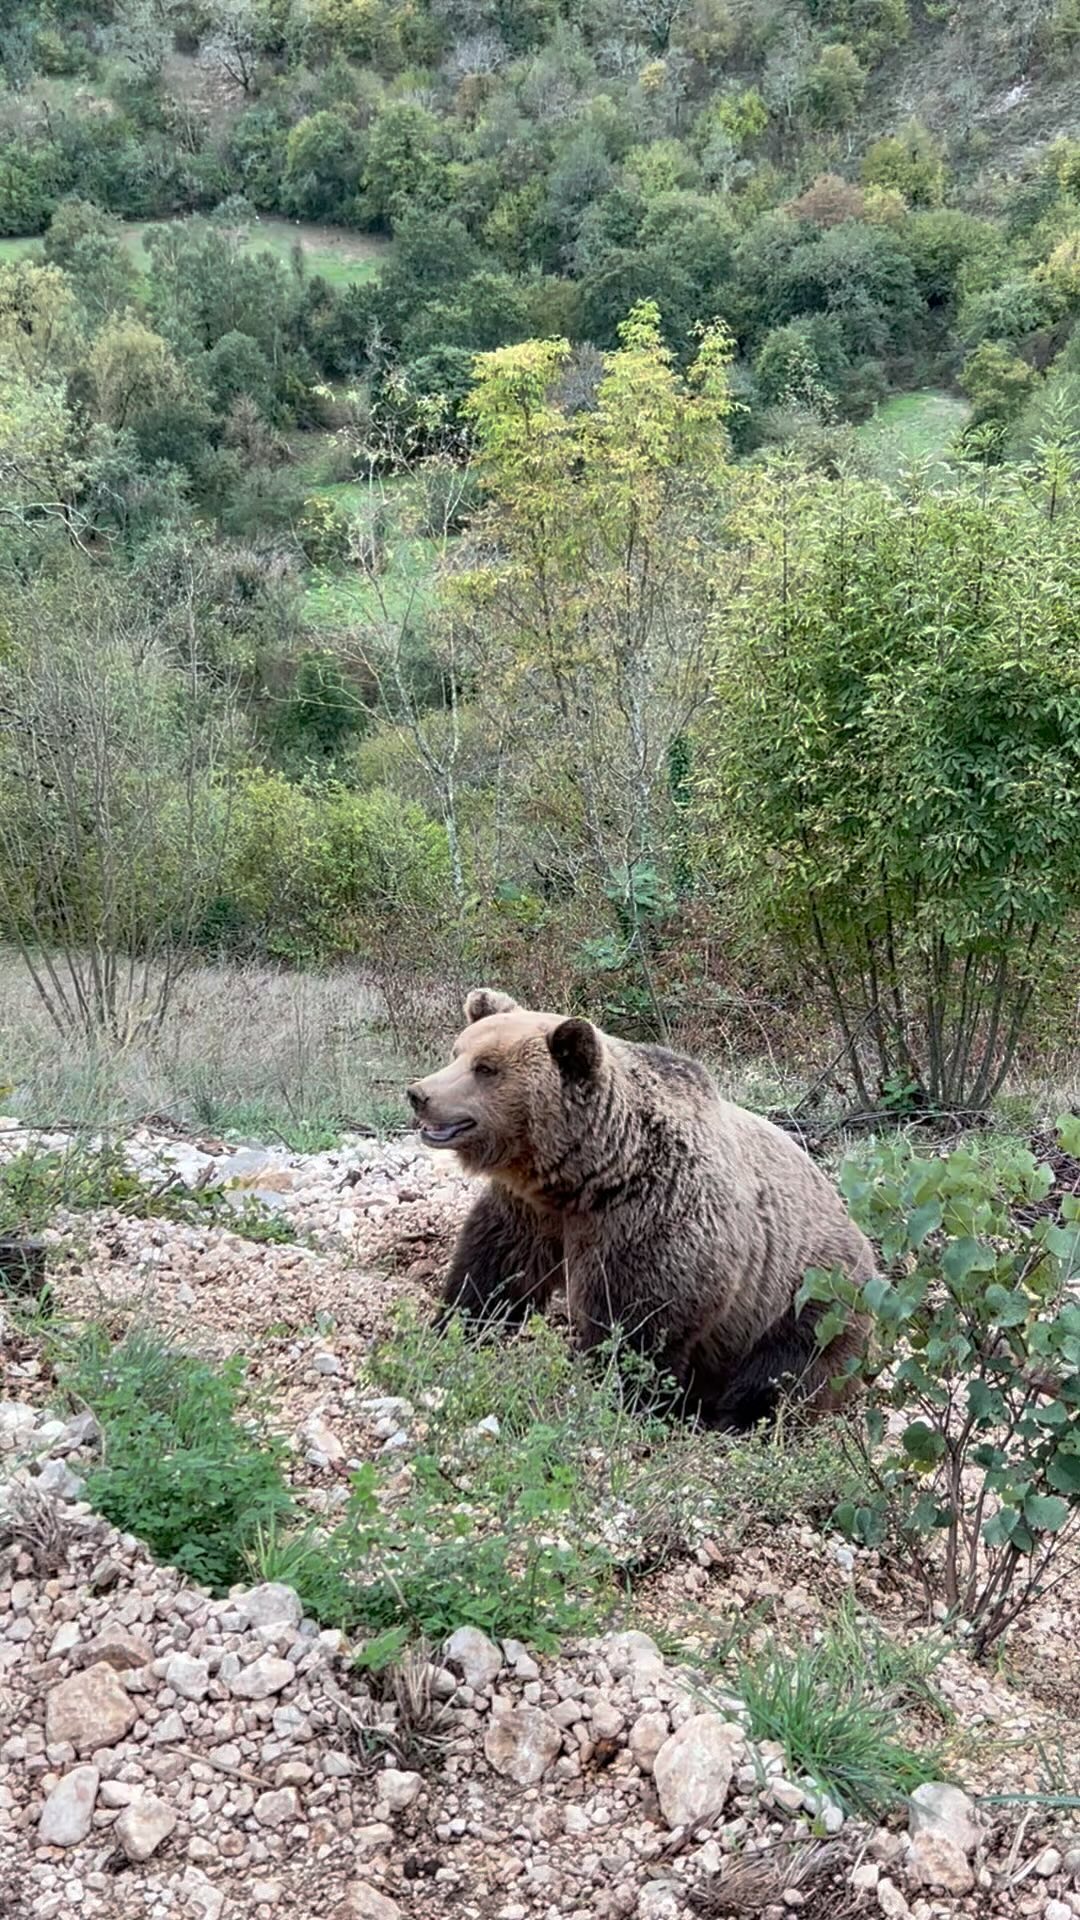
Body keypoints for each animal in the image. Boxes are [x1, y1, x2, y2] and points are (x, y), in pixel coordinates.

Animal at [405, 990, 876, 1428]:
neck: (591, 1175)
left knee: (785, 1372)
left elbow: (637, 1317)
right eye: (458, 1051)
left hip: (808, 1299)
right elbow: (495, 1272)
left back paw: (735, 1420)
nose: (418, 1093)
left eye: (486, 1068)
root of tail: (868, 1253)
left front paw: (615, 1392)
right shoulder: (530, 1211)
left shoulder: (656, 1217)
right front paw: (457, 1329)